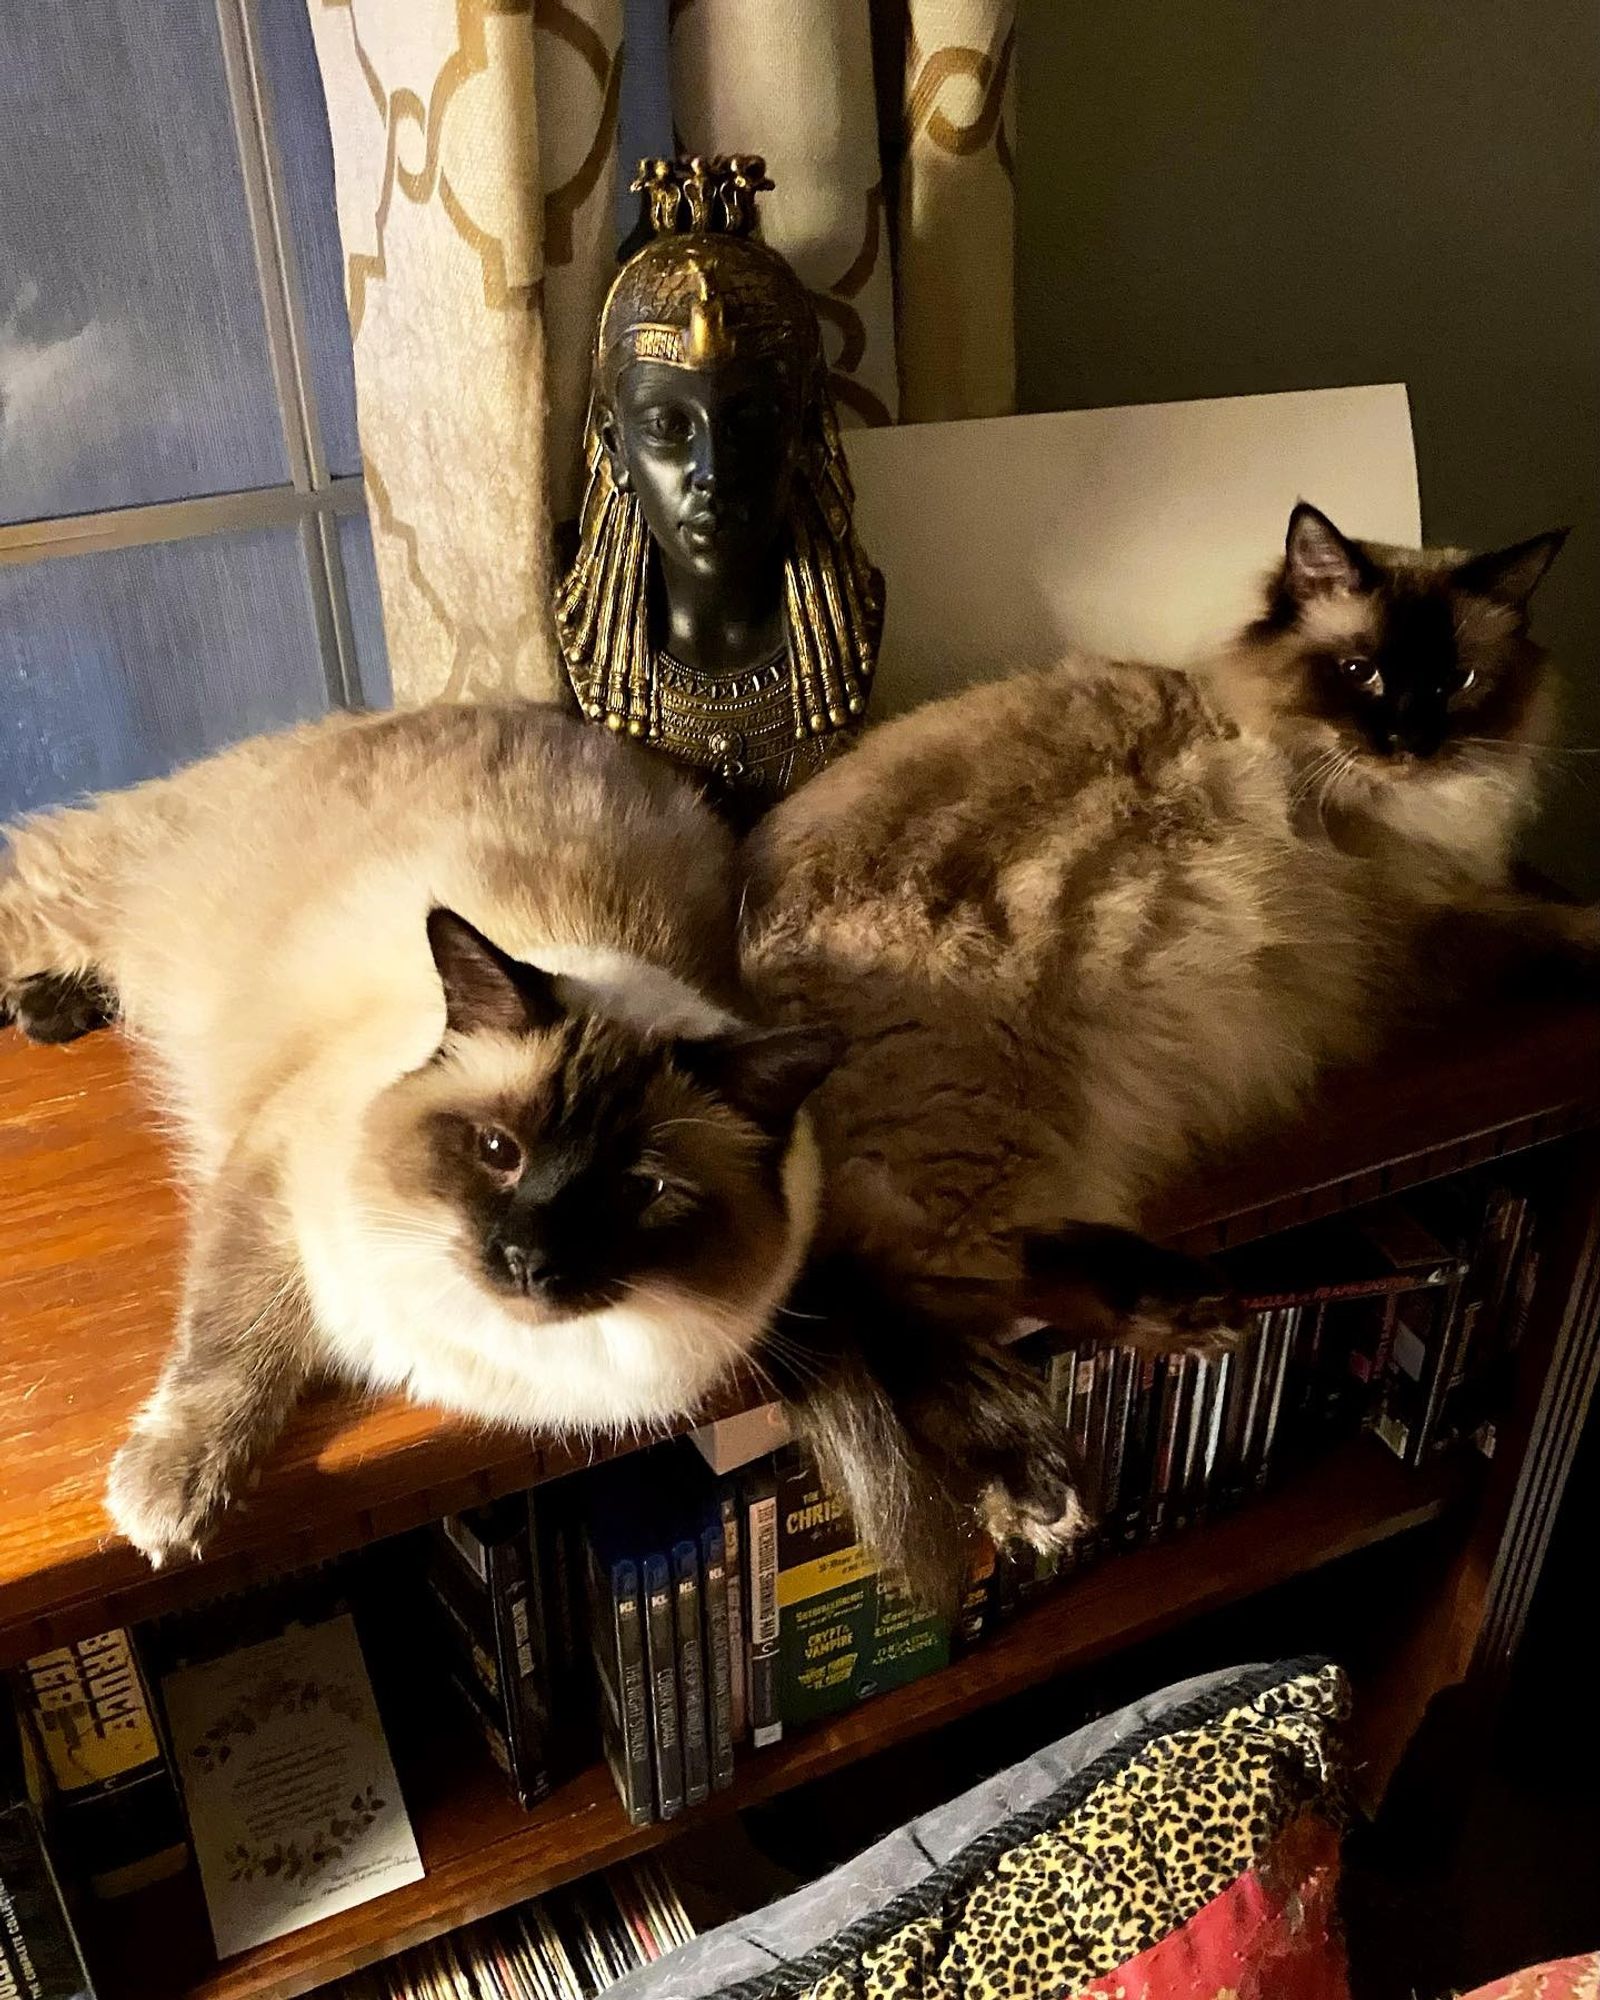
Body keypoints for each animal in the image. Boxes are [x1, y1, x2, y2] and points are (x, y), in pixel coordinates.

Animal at [0, 712, 844, 1568]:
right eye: (499, 1151)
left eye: (640, 1191)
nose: (527, 1261)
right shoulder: (275, 1178)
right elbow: (230, 1346)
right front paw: (171, 1497)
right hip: (86, 905)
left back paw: (45, 1012)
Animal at [748, 504, 1584, 1592]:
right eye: (1360, 673)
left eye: (1457, 682)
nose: (1406, 740)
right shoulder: (1419, 926)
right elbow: (1549, 929)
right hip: (988, 1106)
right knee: (910, 1292)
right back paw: (1034, 1488)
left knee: (1000, 1265)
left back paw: (1184, 1316)